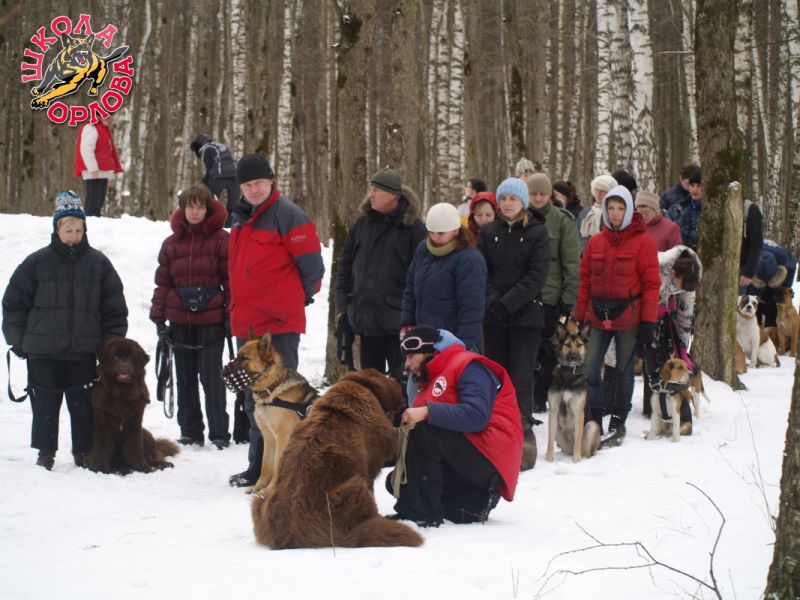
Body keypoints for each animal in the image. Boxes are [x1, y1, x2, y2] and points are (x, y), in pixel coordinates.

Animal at [85, 338, 179, 473]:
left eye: (130, 356)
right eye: (116, 356)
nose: (124, 364)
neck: (122, 395)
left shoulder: (135, 423)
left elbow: (135, 448)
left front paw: (142, 468)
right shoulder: (103, 423)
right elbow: (103, 448)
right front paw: (101, 468)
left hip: (146, 434)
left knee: (149, 457)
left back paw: (162, 465)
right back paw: (122, 469)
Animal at [222, 330, 318, 496]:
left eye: (244, 358)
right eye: (237, 355)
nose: (222, 372)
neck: (272, 388)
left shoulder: (283, 437)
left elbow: (277, 466)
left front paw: (269, 491)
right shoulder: (268, 437)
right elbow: (266, 465)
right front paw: (258, 488)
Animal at [545, 319, 599, 462]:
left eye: (579, 345)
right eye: (567, 345)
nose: (574, 357)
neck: (568, 372)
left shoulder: (578, 411)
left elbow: (578, 440)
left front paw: (576, 460)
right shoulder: (553, 411)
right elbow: (549, 440)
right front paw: (548, 458)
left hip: (591, 425)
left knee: (587, 451)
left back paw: (582, 457)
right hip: (558, 431)